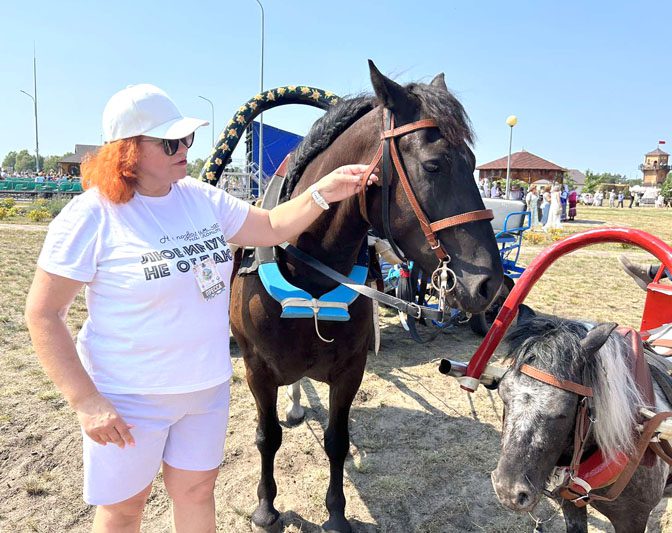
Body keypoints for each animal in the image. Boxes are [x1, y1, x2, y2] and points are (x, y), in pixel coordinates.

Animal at [231, 60, 504, 528]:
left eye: (473, 164)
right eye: (434, 165)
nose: (490, 284)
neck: (311, 275)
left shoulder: (350, 370)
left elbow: (337, 440)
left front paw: (337, 514)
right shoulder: (257, 370)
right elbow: (267, 438)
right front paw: (266, 508)